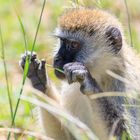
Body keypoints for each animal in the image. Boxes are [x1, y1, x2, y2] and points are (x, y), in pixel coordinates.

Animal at [19, 7, 140, 140]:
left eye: (73, 45)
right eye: (62, 41)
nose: (57, 59)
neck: (102, 74)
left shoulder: (127, 86)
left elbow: (130, 135)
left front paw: (90, 85)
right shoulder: (71, 90)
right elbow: (66, 136)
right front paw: (38, 78)